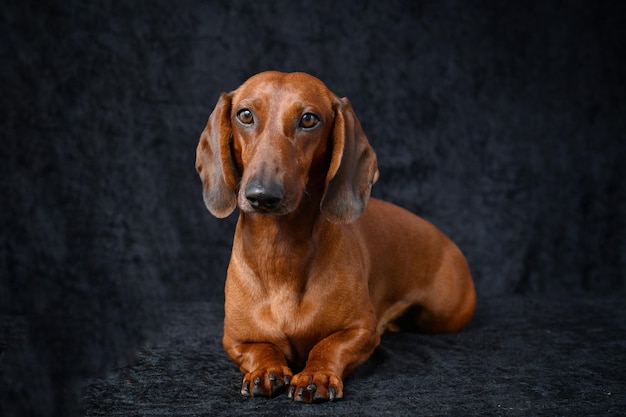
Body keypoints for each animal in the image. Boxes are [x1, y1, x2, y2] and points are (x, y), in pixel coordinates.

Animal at [195, 70, 472, 402]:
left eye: (309, 119)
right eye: (245, 115)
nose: (262, 195)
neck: (280, 252)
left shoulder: (361, 331)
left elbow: (328, 345)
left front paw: (316, 373)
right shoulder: (235, 340)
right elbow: (260, 349)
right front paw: (265, 369)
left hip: (442, 316)